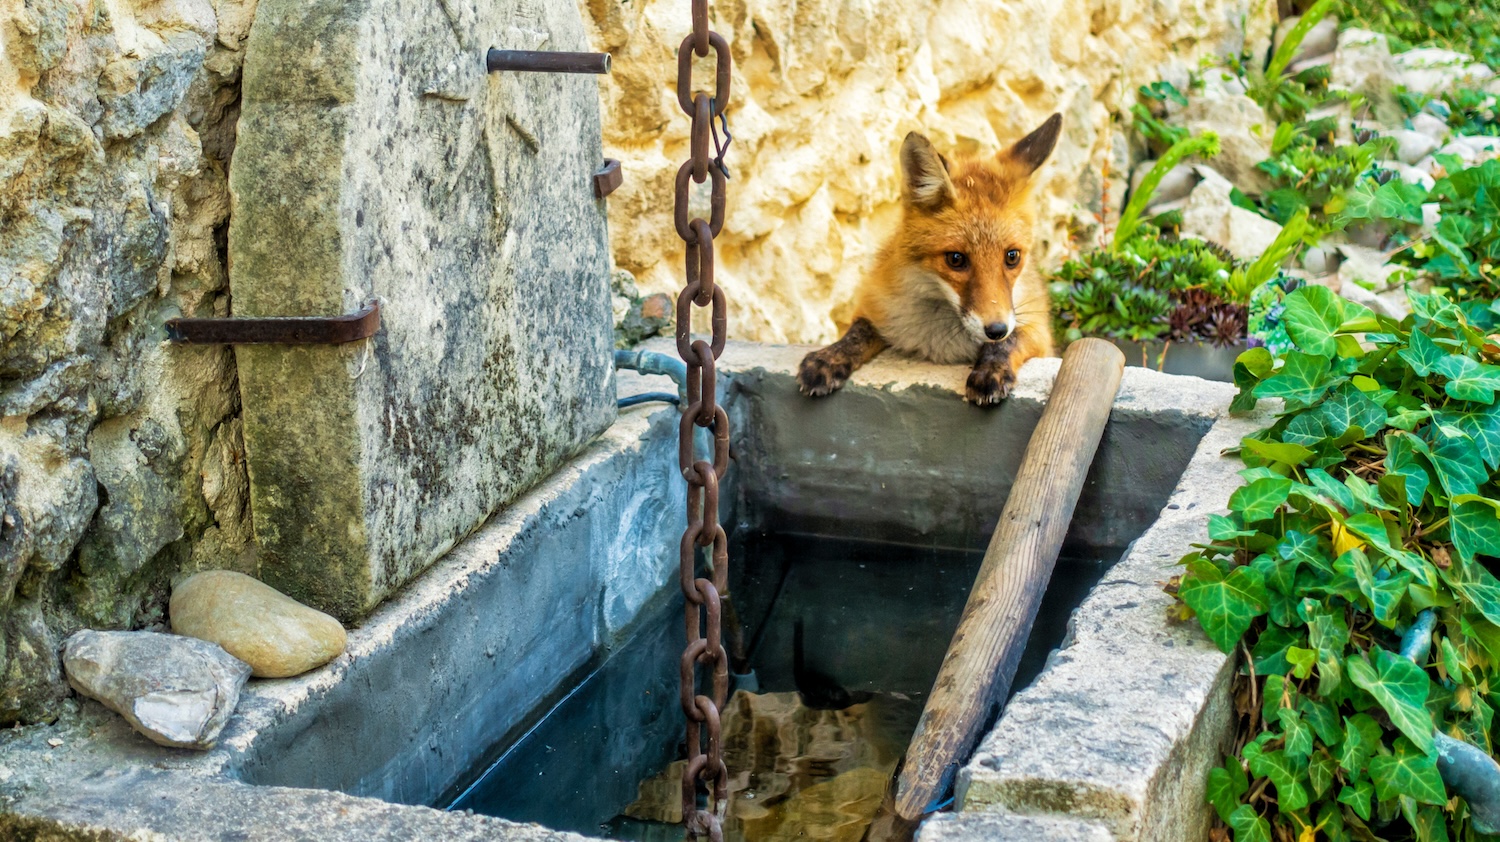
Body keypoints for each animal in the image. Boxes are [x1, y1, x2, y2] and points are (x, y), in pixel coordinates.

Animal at [797, 113, 1062, 406]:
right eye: (956, 259)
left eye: (1012, 256)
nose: (996, 329)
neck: (939, 337)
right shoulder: (874, 305)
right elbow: (858, 332)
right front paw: (828, 357)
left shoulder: (1038, 331)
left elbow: (1011, 341)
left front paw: (991, 369)